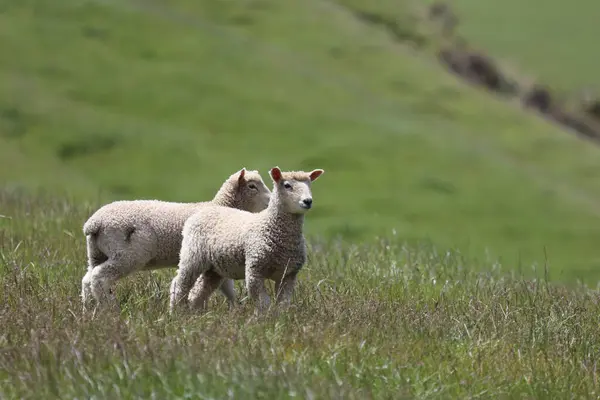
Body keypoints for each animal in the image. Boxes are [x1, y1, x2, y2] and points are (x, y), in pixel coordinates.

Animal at [79, 167, 270, 314]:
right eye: (252, 186)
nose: (270, 202)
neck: (221, 206)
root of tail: (94, 223)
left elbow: (227, 287)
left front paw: (235, 309)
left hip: (97, 253)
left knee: (87, 280)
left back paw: (88, 310)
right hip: (127, 254)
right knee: (99, 278)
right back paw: (111, 309)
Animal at [169, 166, 324, 316]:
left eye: (309, 184)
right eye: (287, 185)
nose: (308, 201)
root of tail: (207, 209)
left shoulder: (288, 275)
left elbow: (283, 304)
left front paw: (281, 319)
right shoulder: (255, 270)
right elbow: (263, 303)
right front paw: (263, 320)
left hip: (214, 268)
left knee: (199, 292)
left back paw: (195, 316)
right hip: (192, 257)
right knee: (179, 285)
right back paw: (176, 313)